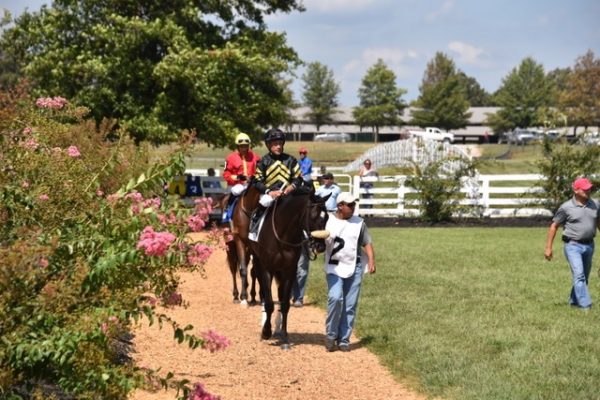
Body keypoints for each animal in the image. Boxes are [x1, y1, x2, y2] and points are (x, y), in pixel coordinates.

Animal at [249, 188, 330, 350]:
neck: (282, 236)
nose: (321, 246)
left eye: (327, 217)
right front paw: (266, 332)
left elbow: (285, 304)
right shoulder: (267, 269)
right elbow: (269, 302)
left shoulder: (289, 270)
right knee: (263, 292)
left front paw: (284, 336)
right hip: (258, 262)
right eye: (313, 216)